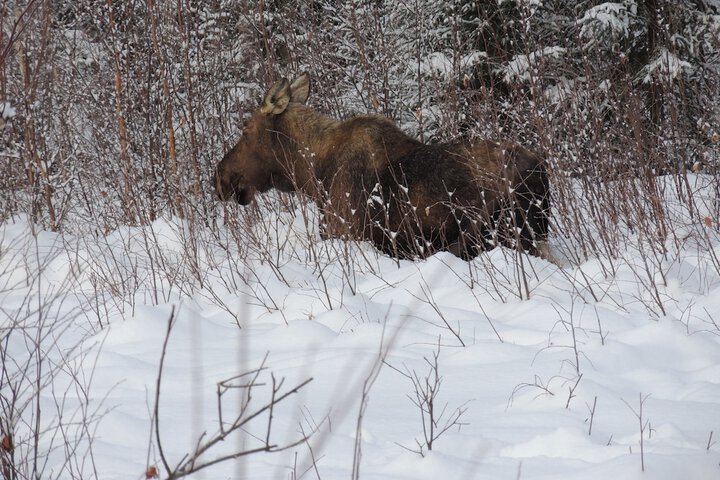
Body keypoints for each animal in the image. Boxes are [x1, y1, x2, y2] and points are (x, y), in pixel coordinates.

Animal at [214, 72, 552, 260]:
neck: (313, 177)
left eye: (246, 131)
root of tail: (540, 172)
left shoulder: (345, 233)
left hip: (499, 233)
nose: (220, 177)